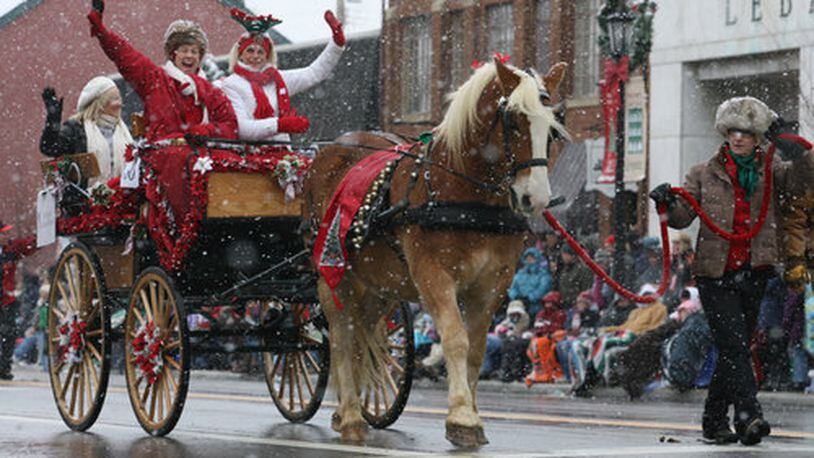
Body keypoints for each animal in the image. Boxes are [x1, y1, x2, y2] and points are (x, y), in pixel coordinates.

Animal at [304, 57, 568, 448]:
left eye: (551, 129)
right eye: (514, 121)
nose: (534, 199)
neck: (466, 195)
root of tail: (331, 149)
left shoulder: (493, 283)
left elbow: (476, 348)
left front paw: (471, 414)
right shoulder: (433, 274)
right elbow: (455, 338)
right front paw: (462, 418)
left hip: (381, 283)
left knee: (363, 333)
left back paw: (345, 412)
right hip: (333, 273)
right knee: (341, 335)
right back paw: (351, 416)